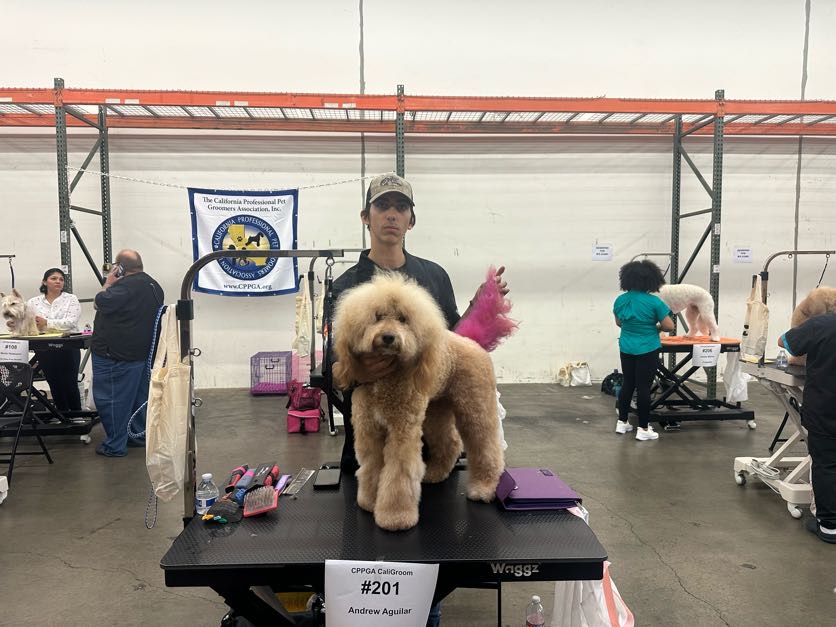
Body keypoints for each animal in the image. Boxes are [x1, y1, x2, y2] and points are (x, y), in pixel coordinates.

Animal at [332, 272, 502, 532]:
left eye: (403, 319)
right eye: (377, 316)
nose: (388, 337)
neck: (387, 379)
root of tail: (471, 342)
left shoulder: (402, 431)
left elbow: (398, 474)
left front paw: (395, 517)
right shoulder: (369, 429)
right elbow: (371, 466)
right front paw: (369, 501)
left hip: (475, 406)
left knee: (486, 445)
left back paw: (484, 488)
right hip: (435, 411)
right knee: (451, 443)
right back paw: (434, 473)